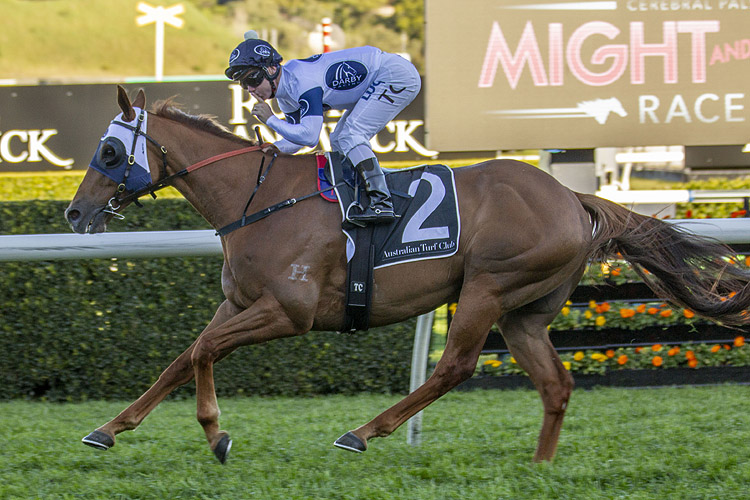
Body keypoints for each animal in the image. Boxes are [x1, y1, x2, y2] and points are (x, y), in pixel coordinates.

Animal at [67, 87, 750, 464]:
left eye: (109, 151)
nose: (74, 213)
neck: (256, 199)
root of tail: (571, 197)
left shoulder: (287, 312)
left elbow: (204, 352)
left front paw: (216, 434)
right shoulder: (239, 305)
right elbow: (184, 357)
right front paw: (108, 429)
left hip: (488, 287)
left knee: (455, 367)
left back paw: (364, 432)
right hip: (525, 312)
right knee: (555, 385)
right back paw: (539, 467)